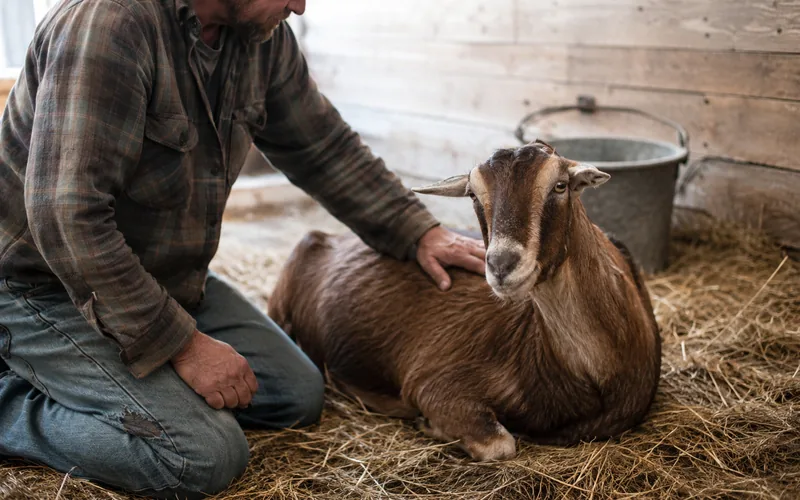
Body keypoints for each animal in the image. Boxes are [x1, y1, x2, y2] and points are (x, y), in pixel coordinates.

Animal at [267, 140, 662, 461]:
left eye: (560, 186)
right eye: (473, 195)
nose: (501, 265)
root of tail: (326, 238)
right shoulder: (435, 383)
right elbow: (500, 445)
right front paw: (430, 425)